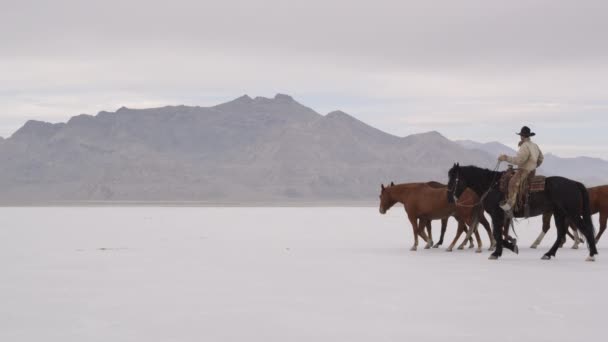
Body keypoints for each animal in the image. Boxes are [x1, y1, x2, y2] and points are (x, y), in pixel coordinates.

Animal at [446, 164, 600, 262]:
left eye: (454, 179)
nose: (449, 198)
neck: (492, 186)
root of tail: (574, 183)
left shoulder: (497, 214)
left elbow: (497, 233)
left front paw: (499, 252)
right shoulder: (502, 216)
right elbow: (499, 233)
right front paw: (508, 247)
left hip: (572, 213)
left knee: (585, 230)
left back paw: (591, 255)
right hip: (559, 214)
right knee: (561, 233)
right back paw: (548, 254)